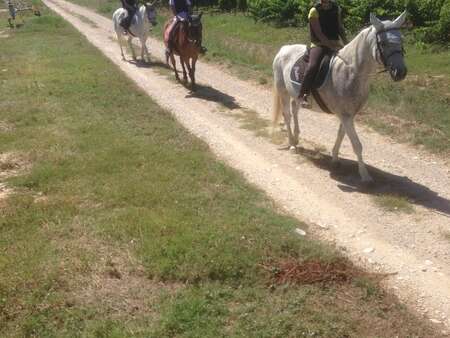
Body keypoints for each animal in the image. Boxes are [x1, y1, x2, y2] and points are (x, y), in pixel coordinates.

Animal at [272, 12, 410, 182]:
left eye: (401, 39)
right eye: (383, 43)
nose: (400, 72)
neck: (349, 72)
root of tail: (284, 49)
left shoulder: (348, 114)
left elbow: (341, 135)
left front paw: (335, 158)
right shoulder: (345, 116)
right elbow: (357, 145)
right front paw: (365, 176)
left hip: (296, 95)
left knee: (295, 111)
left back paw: (297, 138)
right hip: (283, 92)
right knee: (287, 115)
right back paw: (292, 144)